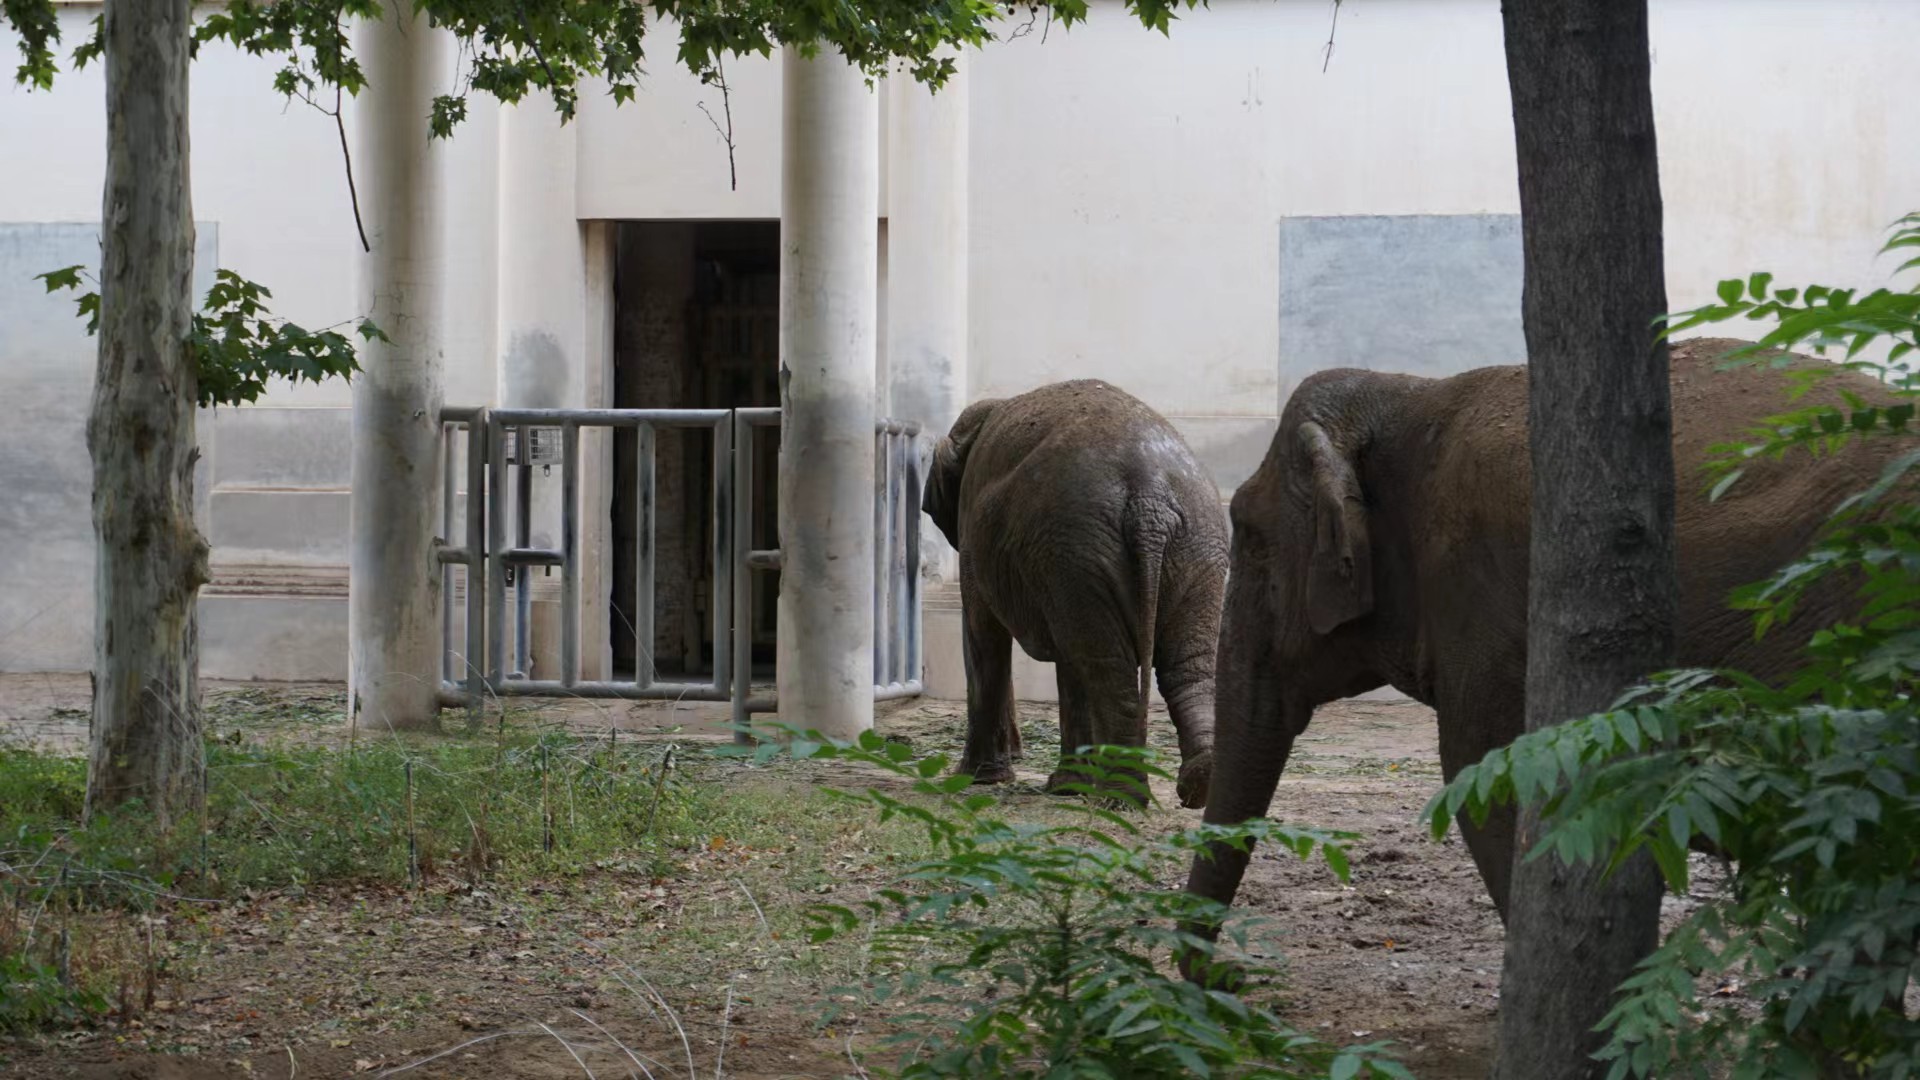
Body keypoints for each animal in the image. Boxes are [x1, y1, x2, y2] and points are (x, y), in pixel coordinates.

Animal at [922, 379, 1229, 809]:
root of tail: (1149, 500)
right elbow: (1066, 658)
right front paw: (1065, 786)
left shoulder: (975, 535)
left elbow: (984, 635)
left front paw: (979, 779)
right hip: (1188, 548)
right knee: (1185, 667)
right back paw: (1194, 785)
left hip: (1083, 547)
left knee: (1105, 667)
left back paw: (1120, 796)